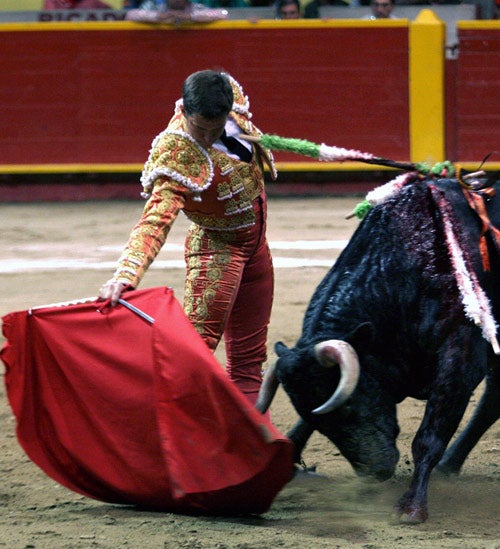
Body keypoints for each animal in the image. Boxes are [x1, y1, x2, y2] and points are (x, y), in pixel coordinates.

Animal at [258, 178, 500, 524]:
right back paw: (448, 466)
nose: (375, 472)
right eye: (320, 421)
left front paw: (411, 507)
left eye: (349, 408)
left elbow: (429, 436)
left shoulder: (459, 360)